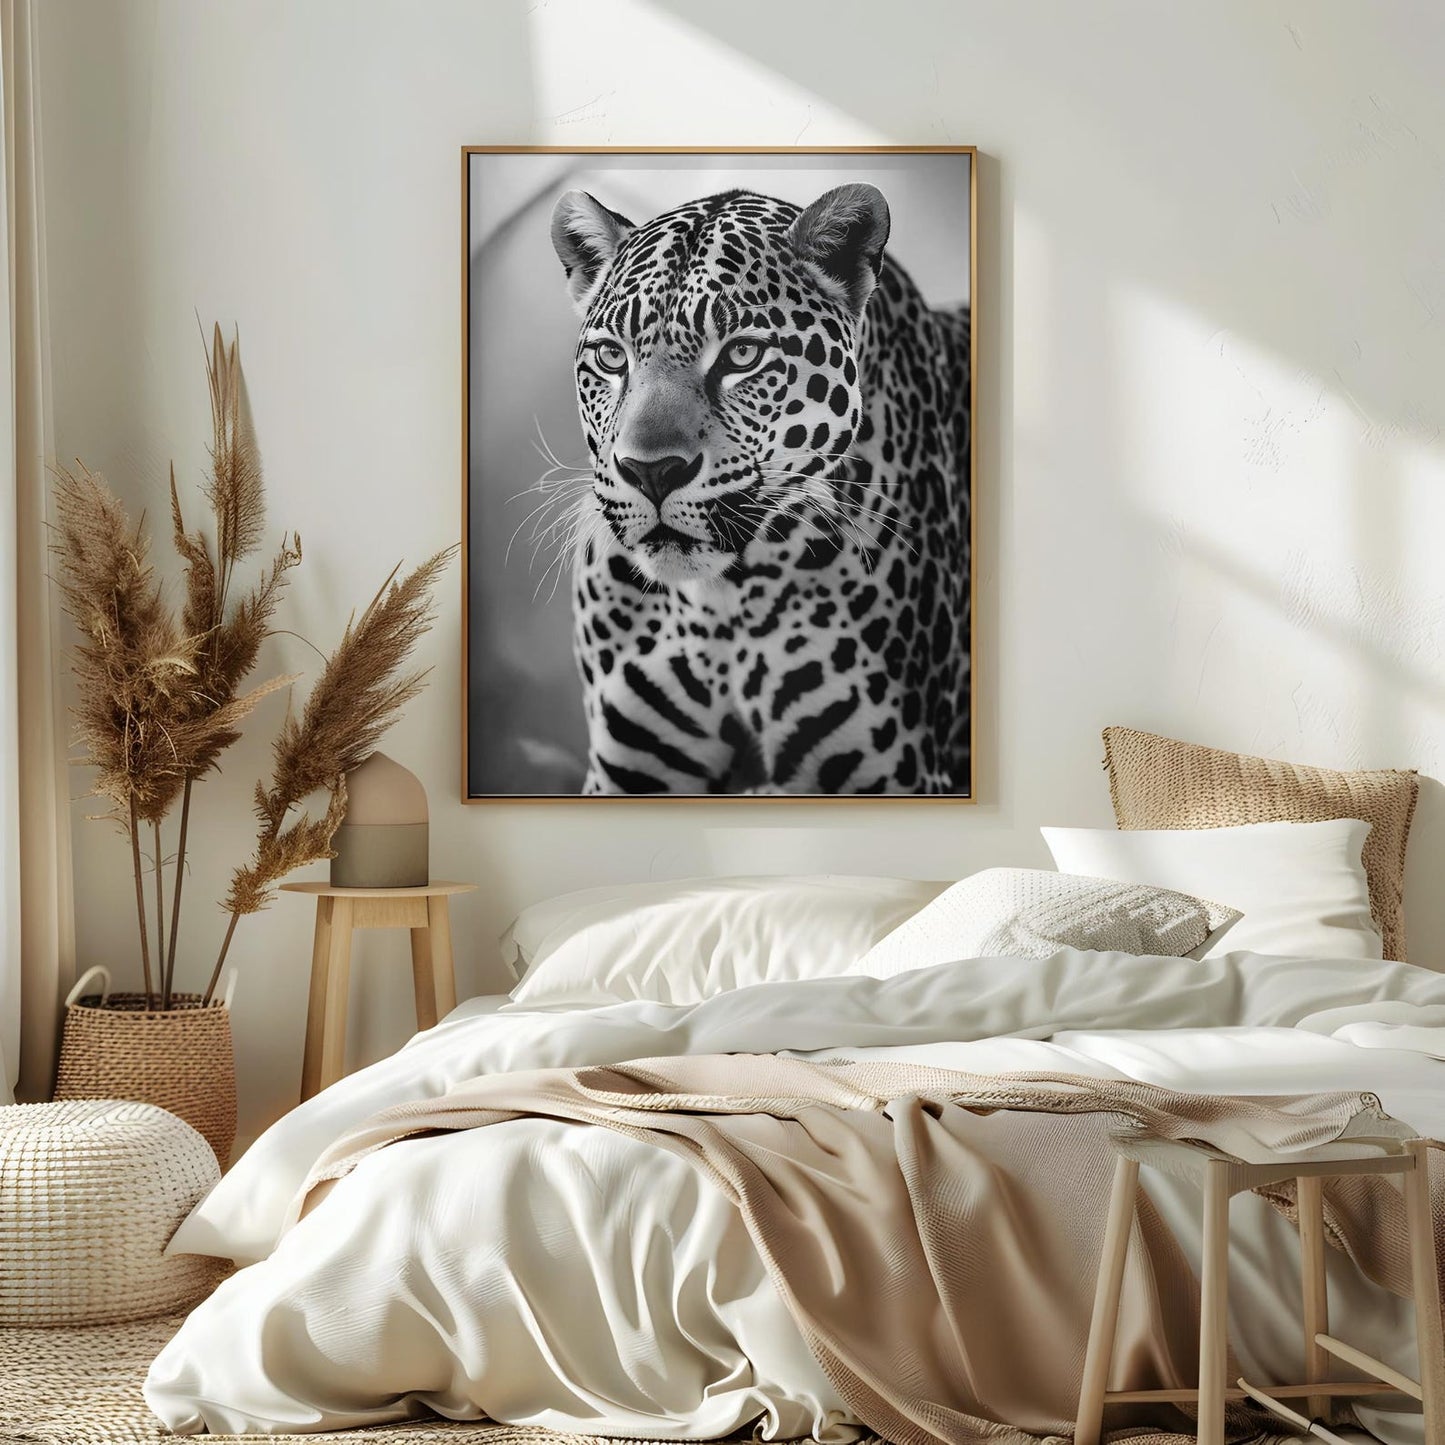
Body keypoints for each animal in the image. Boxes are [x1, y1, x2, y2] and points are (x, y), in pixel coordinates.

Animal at [547, 182, 970, 795]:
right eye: (611, 357)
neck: (723, 601)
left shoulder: (899, 776)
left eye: (742, 355)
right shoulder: (624, 774)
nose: (651, 472)